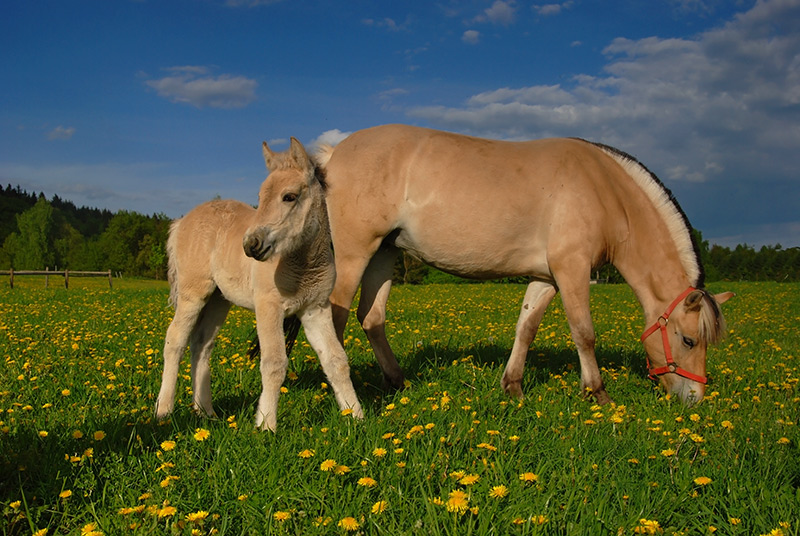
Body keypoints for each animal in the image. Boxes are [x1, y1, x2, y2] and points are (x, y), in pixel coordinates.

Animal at [154, 138, 366, 432]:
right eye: (260, 197)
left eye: (289, 196)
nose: (250, 245)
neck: (302, 265)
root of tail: (182, 221)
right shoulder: (269, 307)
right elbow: (274, 363)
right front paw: (266, 424)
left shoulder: (315, 309)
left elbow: (336, 360)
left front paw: (355, 416)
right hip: (193, 294)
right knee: (175, 340)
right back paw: (163, 411)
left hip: (219, 300)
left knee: (202, 345)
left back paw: (206, 412)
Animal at [316, 123, 736, 404]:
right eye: (688, 339)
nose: (695, 399)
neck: (605, 191)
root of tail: (334, 153)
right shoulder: (572, 269)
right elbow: (584, 332)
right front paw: (597, 393)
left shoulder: (546, 277)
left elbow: (527, 328)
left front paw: (513, 387)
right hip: (355, 255)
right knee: (334, 320)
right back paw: (346, 398)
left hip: (384, 253)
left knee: (372, 318)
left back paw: (397, 381)